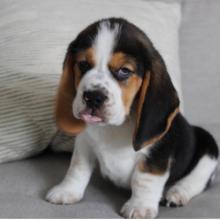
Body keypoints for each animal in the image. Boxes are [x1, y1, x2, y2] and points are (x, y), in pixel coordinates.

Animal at [46, 17, 218, 218]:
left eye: (124, 71)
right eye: (83, 64)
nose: (93, 97)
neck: (115, 126)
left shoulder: (157, 153)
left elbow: (144, 179)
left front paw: (140, 206)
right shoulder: (84, 143)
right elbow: (77, 167)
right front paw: (67, 190)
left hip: (209, 147)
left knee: (198, 179)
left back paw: (177, 193)